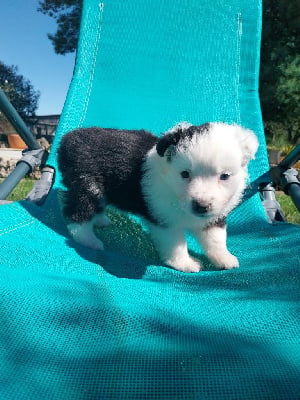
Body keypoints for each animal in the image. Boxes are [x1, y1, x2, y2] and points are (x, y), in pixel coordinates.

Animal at [58, 122, 258, 272]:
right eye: (185, 174)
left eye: (224, 176)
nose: (201, 206)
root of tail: (68, 139)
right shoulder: (163, 219)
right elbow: (175, 243)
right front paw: (184, 263)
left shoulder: (213, 218)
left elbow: (216, 238)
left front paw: (224, 258)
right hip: (88, 186)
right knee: (77, 214)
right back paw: (89, 240)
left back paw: (100, 220)